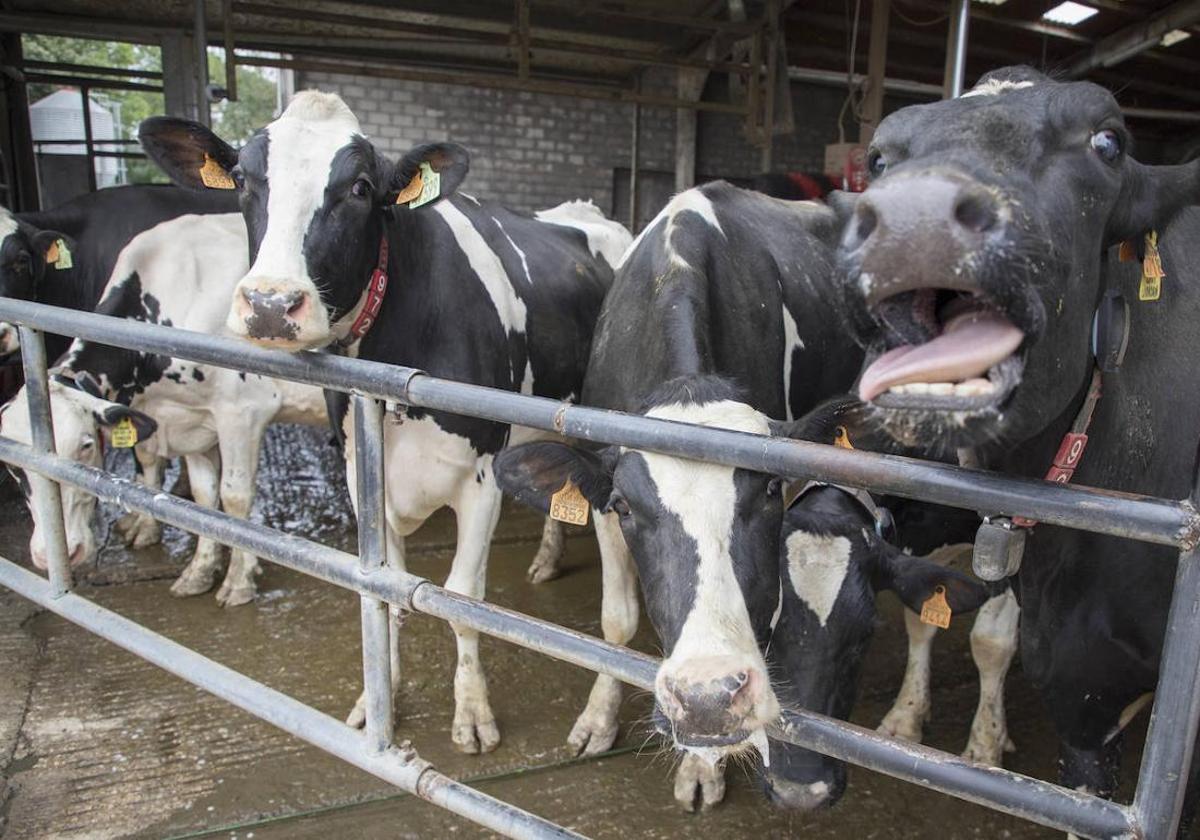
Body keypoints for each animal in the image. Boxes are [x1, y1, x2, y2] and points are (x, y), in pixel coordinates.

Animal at [4, 213, 331, 600]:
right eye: (13, 467)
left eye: (85, 446)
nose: (56, 553)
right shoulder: (191, 419)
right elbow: (204, 498)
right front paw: (199, 571)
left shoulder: (243, 412)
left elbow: (234, 496)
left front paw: (239, 580)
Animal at [840, 63, 1200, 801]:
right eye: (881, 158)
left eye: (1107, 142)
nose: (915, 211)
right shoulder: (1080, 684)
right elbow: (926, 616)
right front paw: (905, 719)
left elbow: (988, 639)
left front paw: (982, 747)